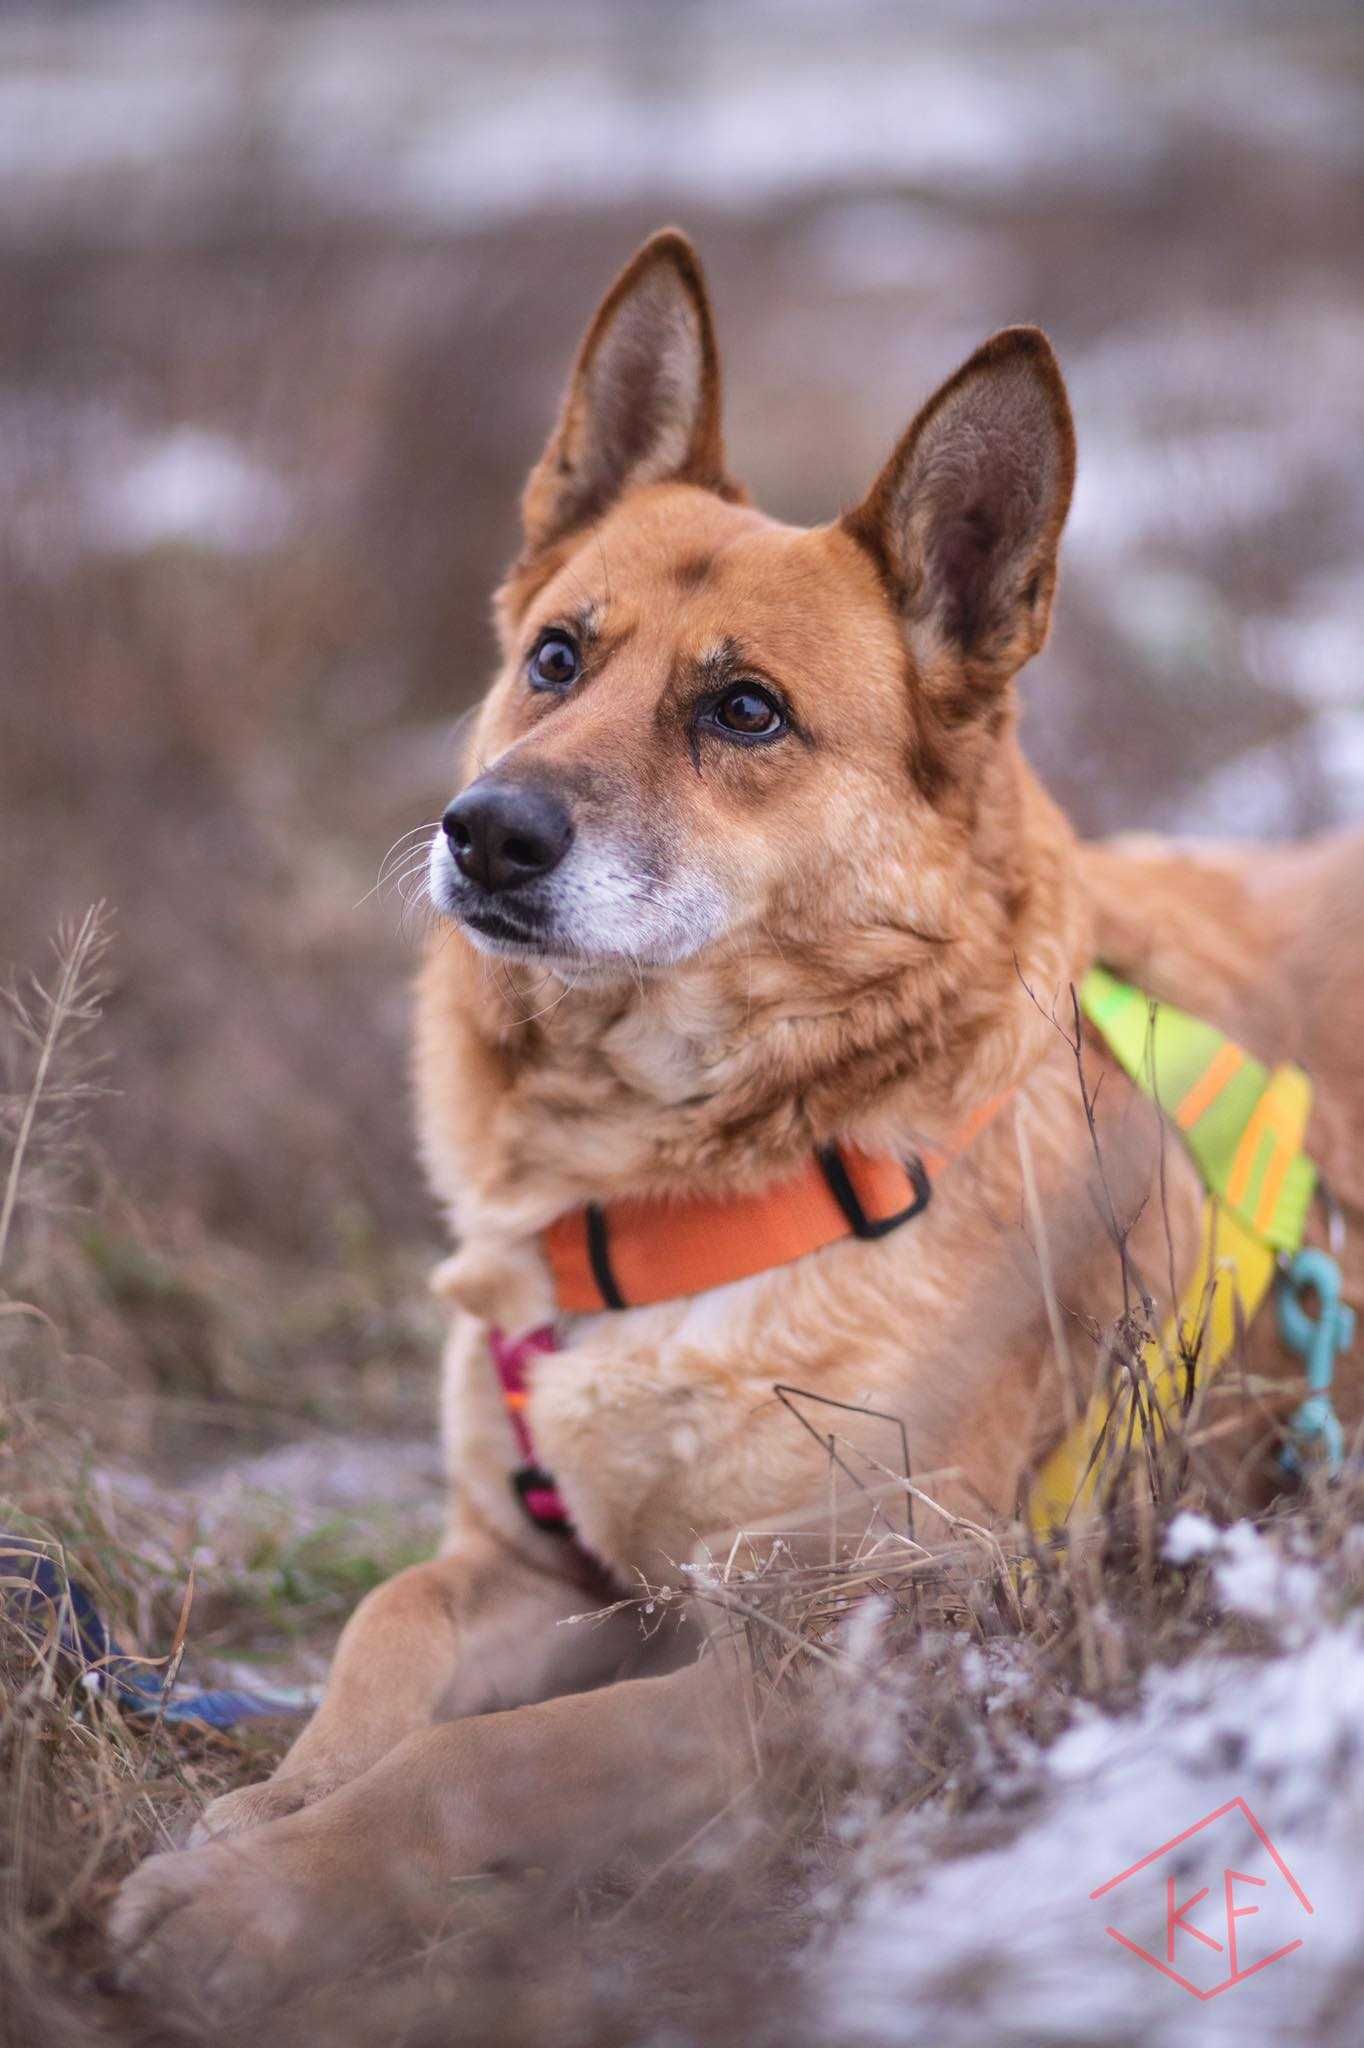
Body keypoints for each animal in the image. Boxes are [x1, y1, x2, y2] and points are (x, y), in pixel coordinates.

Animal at [109, 232, 1359, 2007]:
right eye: (556, 657)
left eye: (746, 712)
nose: (483, 832)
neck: (670, 1188)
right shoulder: (553, 1570)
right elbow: (392, 1622)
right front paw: (276, 1807)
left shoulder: (817, 1660)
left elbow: (476, 1763)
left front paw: (258, 1905)